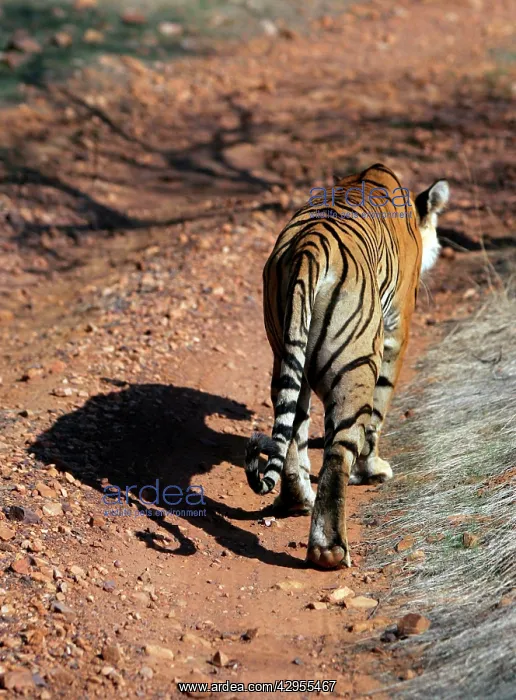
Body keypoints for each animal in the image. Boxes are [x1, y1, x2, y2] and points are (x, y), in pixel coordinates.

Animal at [245, 163, 449, 569]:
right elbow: (379, 413)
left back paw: (296, 501)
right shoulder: (397, 330)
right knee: (338, 450)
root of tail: (308, 249)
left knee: (291, 431)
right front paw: (373, 471)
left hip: (286, 353)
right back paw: (330, 550)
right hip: (355, 366)